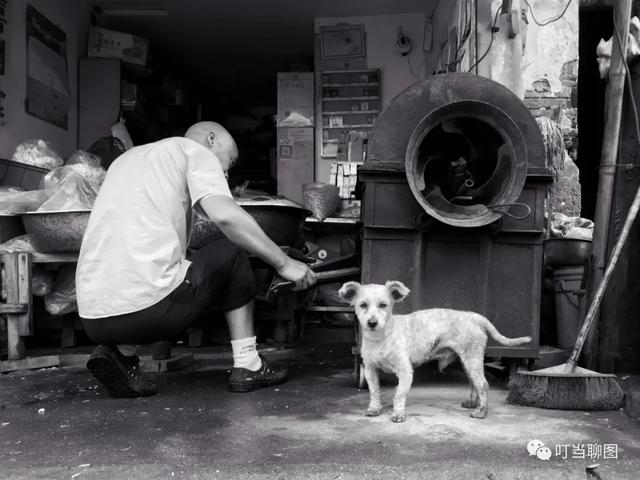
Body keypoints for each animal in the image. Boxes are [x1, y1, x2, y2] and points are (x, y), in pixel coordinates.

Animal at [338, 280, 532, 422]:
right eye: (363, 305)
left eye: (383, 305)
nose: (372, 323)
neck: (381, 338)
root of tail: (473, 316)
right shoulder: (370, 369)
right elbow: (374, 391)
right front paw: (374, 408)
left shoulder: (405, 371)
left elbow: (399, 394)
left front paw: (398, 413)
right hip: (467, 361)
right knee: (474, 383)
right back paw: (472, 403)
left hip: (472, 358)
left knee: (483, 384)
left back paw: (481, 412)